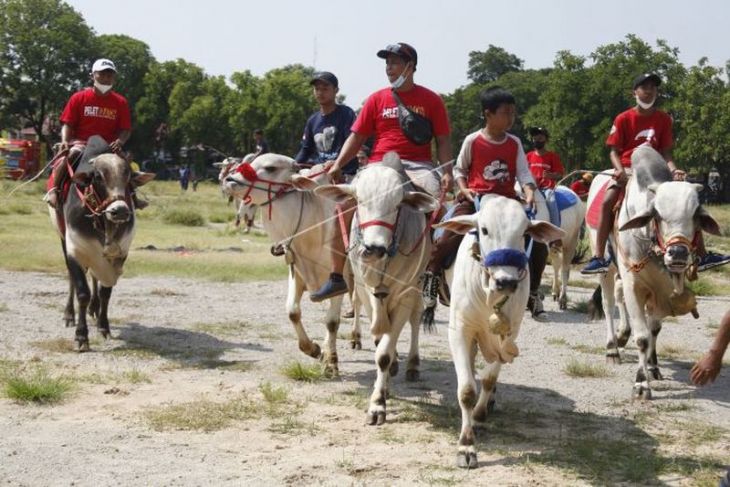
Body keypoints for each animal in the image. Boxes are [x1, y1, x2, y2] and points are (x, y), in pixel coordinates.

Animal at [223, 154, 342, 376]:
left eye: (270, 168)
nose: (229, 180)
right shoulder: (297, 272)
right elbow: (292, 312)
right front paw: (314, 349)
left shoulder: (342, 280)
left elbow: (332, 322)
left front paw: (331, 362)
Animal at [314, 154, 438, 426]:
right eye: (359, 200)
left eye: (398, 204)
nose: (374, 248)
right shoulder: (365, 290)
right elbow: (380, 341)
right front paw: (383, 391)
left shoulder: (403, 295)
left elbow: (384, 352)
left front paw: (378, 405)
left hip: (416, 287)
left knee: (415, 320)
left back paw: (412, 365)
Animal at [436, 194, 560, 468]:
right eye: (484, 230)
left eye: (524, 232)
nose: (506, 281)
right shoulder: (459, 330)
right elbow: (467, 390)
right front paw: (466, 446)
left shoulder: (510, 334)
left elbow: (489, 379)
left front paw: (480, 415)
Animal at [608, 147, 716, 398]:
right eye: (656, 214)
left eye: (696, 215)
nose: (677, 253)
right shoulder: (633, 283)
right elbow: (642, 338)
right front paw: (641, 383)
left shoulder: (661, 291)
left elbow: (654, 329)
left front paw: (651, 368)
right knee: (609, 301)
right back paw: (613, 347)